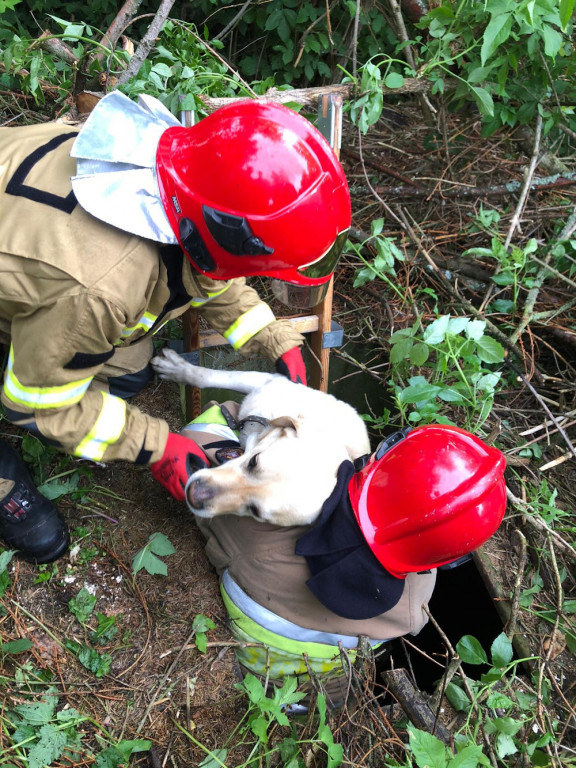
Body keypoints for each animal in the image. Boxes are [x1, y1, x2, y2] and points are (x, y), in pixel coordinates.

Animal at [153, 350, 368, 524]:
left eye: (255, 510)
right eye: (254, 461)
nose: (194, 494)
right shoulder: (267, 380)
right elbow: (209, 376)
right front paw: (175, 369)